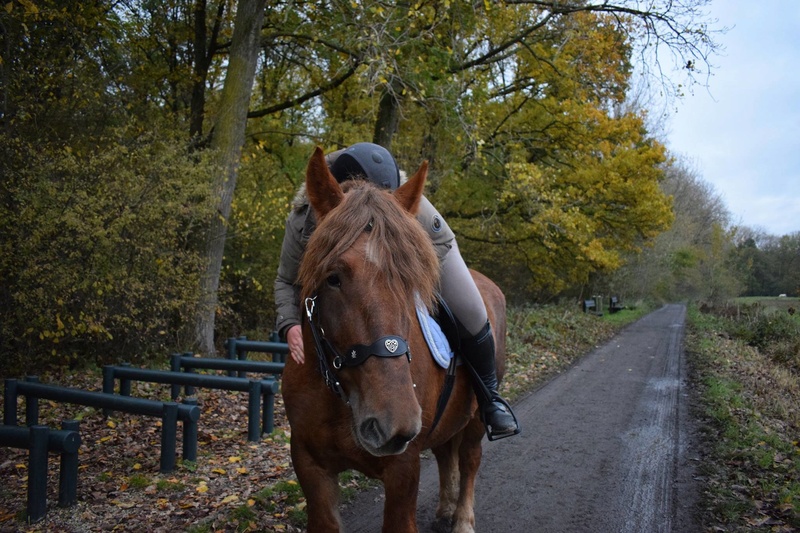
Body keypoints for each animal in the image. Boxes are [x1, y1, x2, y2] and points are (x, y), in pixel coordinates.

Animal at [282, 148, 506, 532]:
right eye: (333, 278)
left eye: (412, 281)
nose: (395, 424)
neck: (341, 397)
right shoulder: (310, 466)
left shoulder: (403, 468)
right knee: (446, 453)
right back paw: (445, 509)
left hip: (477, 418)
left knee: (470, 458)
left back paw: (462, 519)